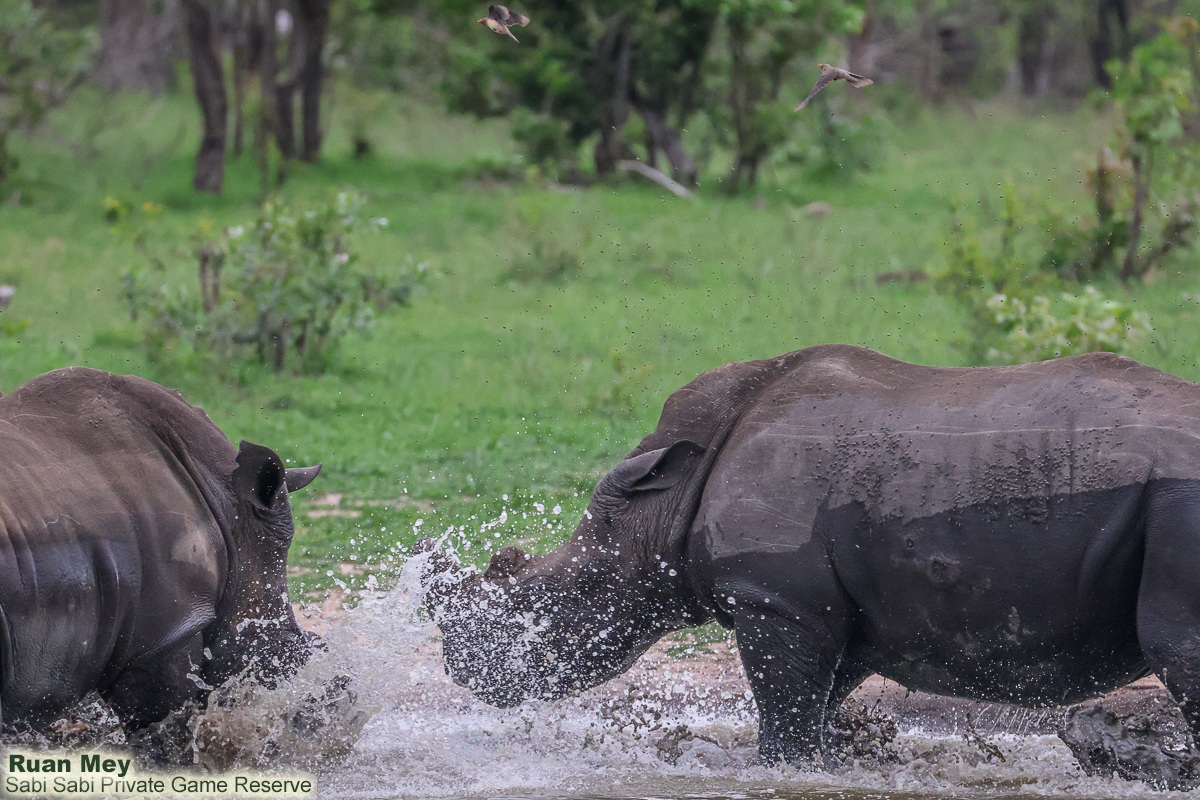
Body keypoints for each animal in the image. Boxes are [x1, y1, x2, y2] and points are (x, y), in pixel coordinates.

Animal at [422, 344, 1200, 764]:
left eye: (542, 604)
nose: (462, 668)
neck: (658, 506)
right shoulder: (831, 610)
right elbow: (816, 706)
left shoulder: (775, 598)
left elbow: (786, 719)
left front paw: (781, 767)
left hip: (1179, 505)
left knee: (1177, 647)